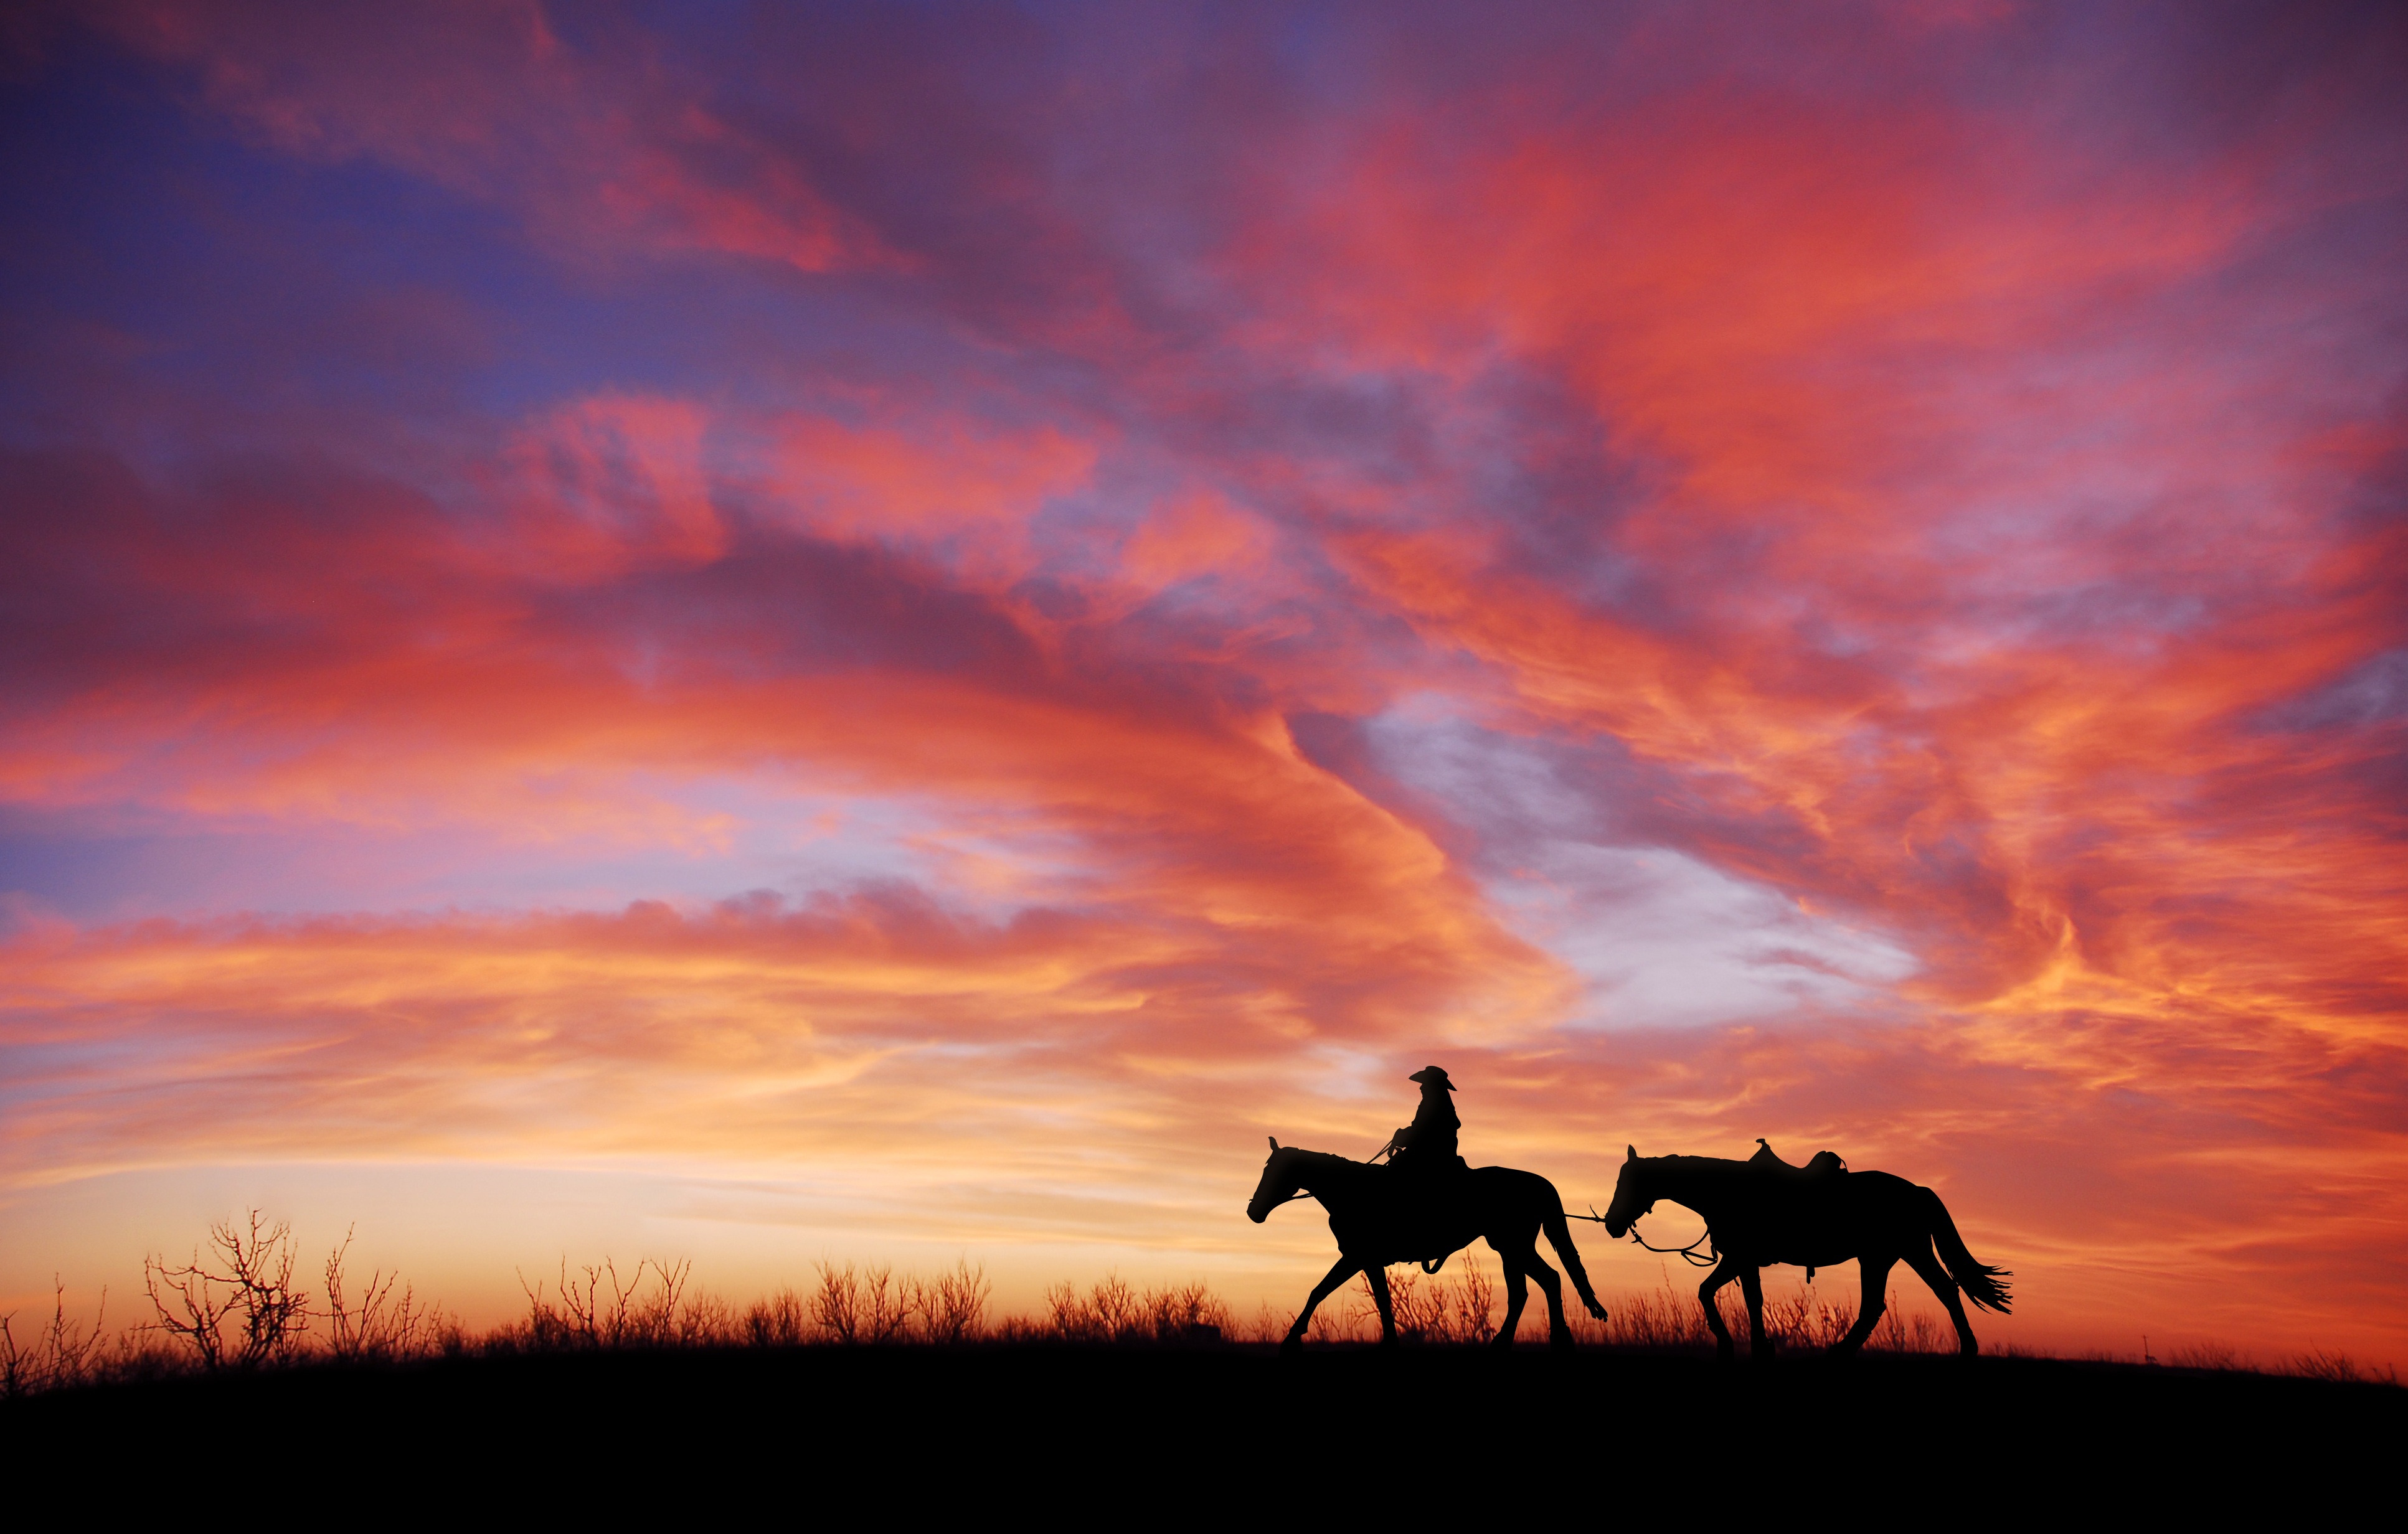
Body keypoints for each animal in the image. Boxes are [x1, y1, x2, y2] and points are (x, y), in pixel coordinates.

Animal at [1252, 1132, 1608, 1348]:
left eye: (1274, 1170)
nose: (1253, 1211)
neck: (1352, 1192)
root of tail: (1539, 1183)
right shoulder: (1366, 1260)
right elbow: (1381, 1301)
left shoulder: (1357, 1257)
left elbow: (1320, 1291)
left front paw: (1291, 1340)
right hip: (1510, 1249)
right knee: (1531, 1288)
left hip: (1513, 1246)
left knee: (1547, 1280)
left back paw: (1554, 1340)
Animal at [1598, 1136, 2013, 1368]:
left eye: (1627, 1182)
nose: (1611, 1224)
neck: (1728, 1192)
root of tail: (1917, 1191)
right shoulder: (1742, 1261)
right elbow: (1737, 1298)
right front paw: (1753, 1349)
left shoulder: (1740, 1258)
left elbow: (1723, 1296)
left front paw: (1739, 1348)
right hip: (1892, 1256)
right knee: (1915, 1297)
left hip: (1889, 1255)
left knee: (1911, 1299)